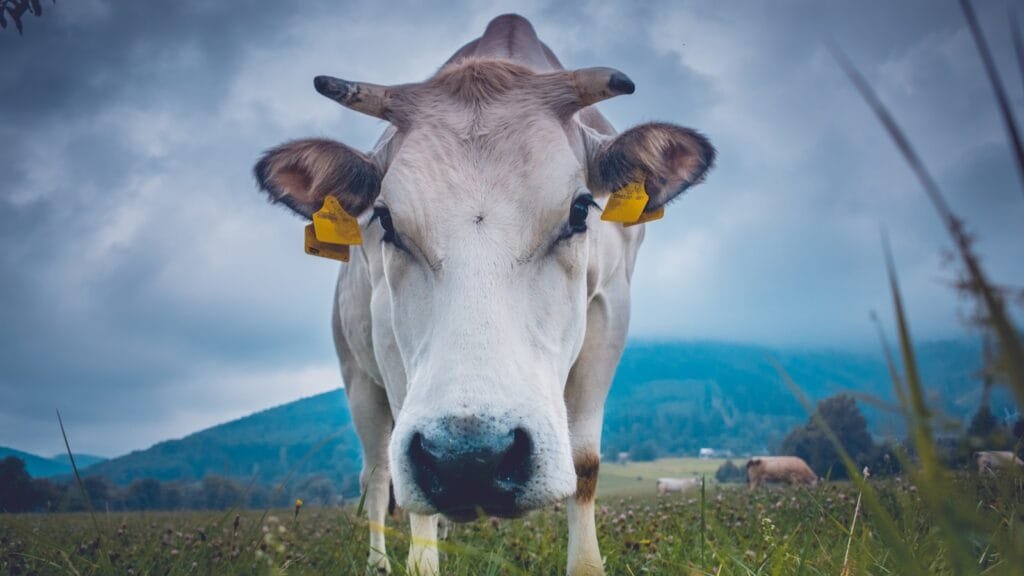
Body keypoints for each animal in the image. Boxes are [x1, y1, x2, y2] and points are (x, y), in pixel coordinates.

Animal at [253, 14, 714, 576]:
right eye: (385, 219)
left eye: (580, 210)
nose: (469, 457)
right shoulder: (386, 336)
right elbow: (407, 492)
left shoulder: (611, 308)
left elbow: (584, 462)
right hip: (356, 374)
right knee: (378, 472)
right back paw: (379, 561)